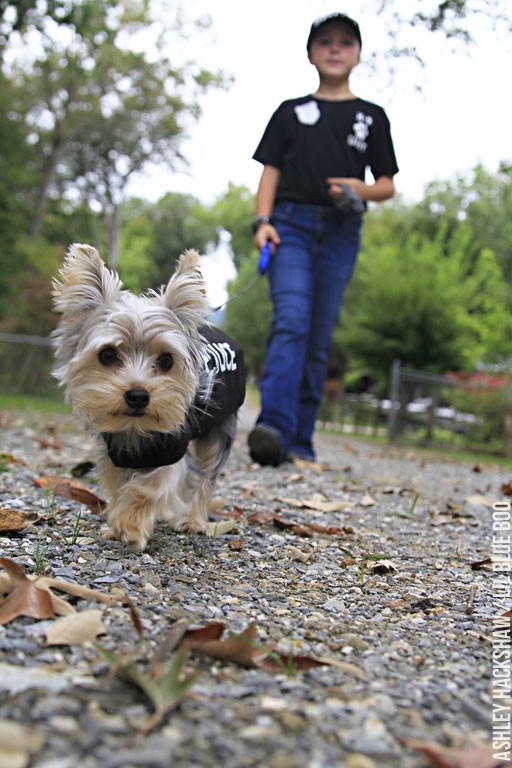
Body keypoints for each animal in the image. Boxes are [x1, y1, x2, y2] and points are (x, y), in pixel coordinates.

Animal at [53, 243, 245, 548]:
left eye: (166, 360)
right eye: (107, 355)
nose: (138, 396)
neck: (135, 428)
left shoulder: (174, 448)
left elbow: (150, 486)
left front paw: (130, 524)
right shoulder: (115, 452)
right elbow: (119, 484)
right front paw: (117, 521)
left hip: (221, 428)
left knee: (205, 477)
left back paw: (193, 520)